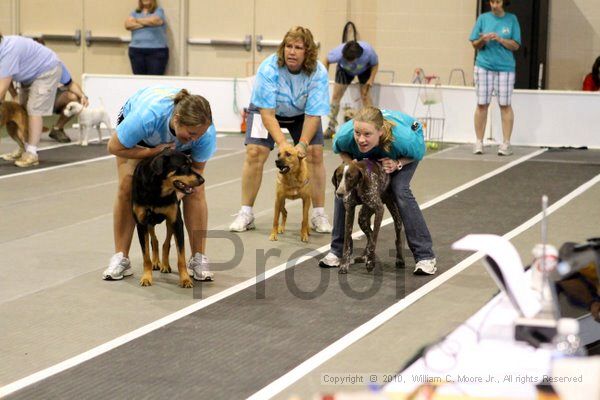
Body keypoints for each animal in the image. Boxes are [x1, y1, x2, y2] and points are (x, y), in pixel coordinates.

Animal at [132, 149, 205, 288]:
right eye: (184, 166)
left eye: (191, 164)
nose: (202, 180)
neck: (157, 189)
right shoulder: (141, 223)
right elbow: (146, 256)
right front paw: (146, 277)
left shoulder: (176, 221)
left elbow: (181, 256)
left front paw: (185, 279)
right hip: (150, 222)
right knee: (154, 240)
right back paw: (156, 262)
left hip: (170, 220)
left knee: (166, 243)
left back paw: (165, 265)